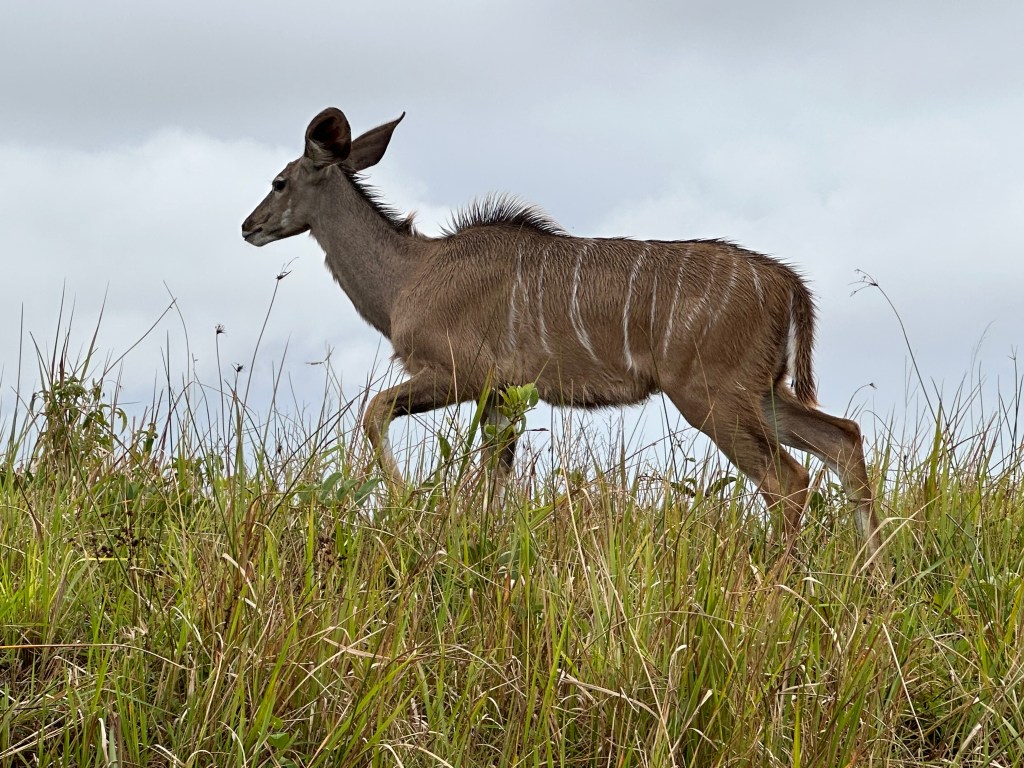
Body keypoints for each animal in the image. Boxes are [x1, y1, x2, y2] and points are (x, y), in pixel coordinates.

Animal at [241, 107, 883, 559]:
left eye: (278, 182)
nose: (249, 226)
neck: (410, 273)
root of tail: (787, 284)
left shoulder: (457, 375)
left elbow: (374, 412)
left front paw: (404, 505)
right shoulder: (502, 397)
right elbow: (493, 486)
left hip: (712, 395)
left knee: (790, 479)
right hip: (762, 391)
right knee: (844, 441)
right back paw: (875, 580)